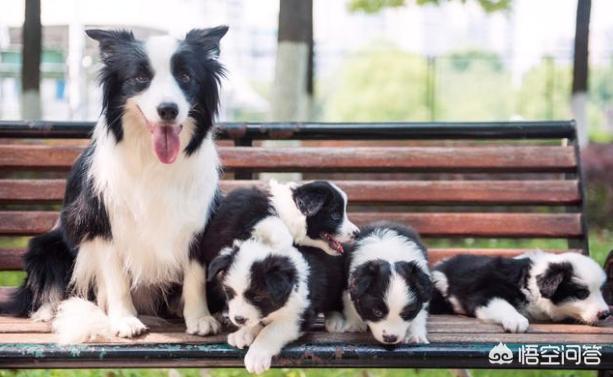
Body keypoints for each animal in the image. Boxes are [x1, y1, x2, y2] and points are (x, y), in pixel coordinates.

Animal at [0, 27, 230, 340]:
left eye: (185, 76)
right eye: (140, 78)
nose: (168, 110)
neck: (152, 160)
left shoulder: (197, 220)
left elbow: (194, 275)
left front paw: (199, 318)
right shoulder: (102, 222)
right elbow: (116, 277)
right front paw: (124, 319)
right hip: (46, 247)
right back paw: (49, 311)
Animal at [428, 250, 608, 332]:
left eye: (601, 291)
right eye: (582, 293)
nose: (606, 314)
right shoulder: (485, 292)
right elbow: (502, 305)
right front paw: (516, 321)